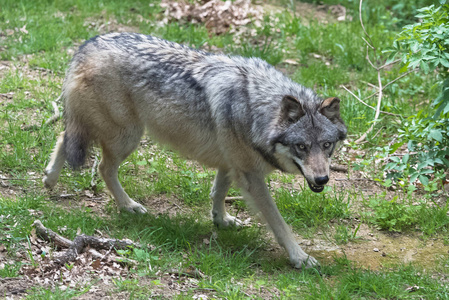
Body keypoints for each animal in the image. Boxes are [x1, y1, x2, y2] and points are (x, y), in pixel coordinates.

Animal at [43, 31, 346, 268]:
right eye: (301, 146)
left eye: (327, 145)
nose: (322, 179)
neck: (255, 108)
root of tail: (87, 44)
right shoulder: (251, 176)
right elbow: (279, 223)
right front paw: (300, 257)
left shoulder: (231, 164)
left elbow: (218, 193)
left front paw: (221, 220)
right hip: (126, 137)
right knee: (103, 167)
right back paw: (128, 206)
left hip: (113, 133)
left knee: (63, 136)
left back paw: (49, 178)